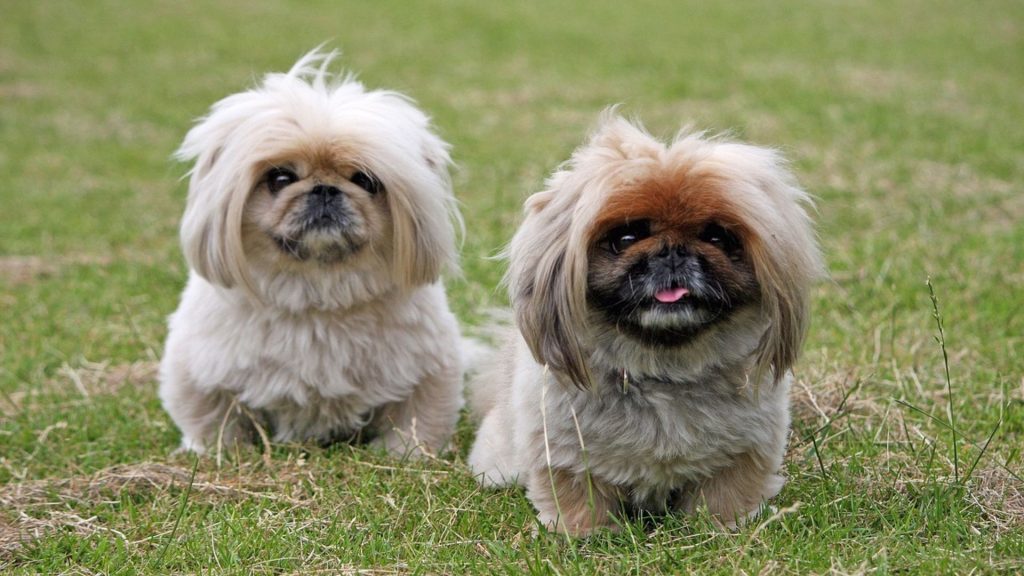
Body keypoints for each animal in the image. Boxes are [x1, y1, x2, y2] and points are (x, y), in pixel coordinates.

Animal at [159, 50, 464, 457]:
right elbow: (212, 419)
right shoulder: (197, 371)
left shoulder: (429, 371)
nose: (324, 189)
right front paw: (217, 452)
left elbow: (416, 421)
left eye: (364, 180)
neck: (317, 293)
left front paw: (405, 455)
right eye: (280, 178)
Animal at [466, 112, 823, 532]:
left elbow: (726, 494)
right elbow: (577, 498)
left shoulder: (745, 451)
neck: (663, 369)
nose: (673, 252)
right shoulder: (564, 453)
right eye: (625, 237)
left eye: (717, 237)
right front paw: (581, 533)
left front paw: (724, 526)